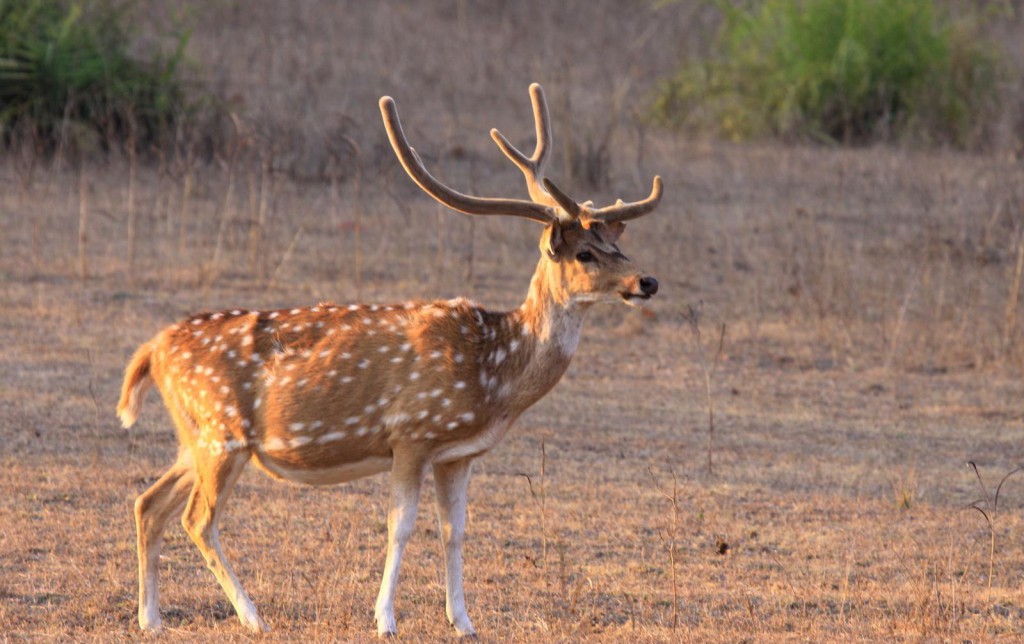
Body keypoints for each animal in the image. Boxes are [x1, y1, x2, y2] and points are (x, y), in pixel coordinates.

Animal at [117, 82, 663, 634]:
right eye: (584, 254)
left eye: (616, 244)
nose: (648, 281)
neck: (493, 377)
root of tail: (152, 349)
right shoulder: (412, 433)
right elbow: (400, 527)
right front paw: (385, 619)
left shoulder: (458, 454)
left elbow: (455, 531)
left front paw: (463, 622)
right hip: (221, 432)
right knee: (197, 519)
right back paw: (252, 617)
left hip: (195, 438)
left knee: (148, 503)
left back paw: (151, 619)